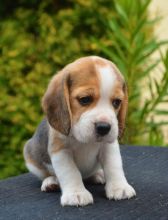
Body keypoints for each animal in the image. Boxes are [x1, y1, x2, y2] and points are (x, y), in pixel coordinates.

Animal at [23, 55, 135, 206]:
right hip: (31, 158)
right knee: (47, 174)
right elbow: (70, 172)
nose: (104, 127)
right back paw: (51, 182)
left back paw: (97, 174)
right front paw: (76, 193)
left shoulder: (109, 147)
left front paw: (119, 187)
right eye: (85, 99)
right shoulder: (60, 150)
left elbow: (114, 166)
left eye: (116, 102)